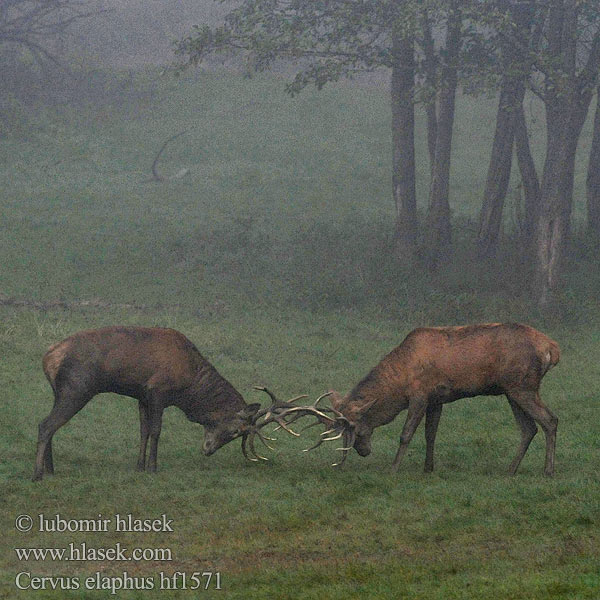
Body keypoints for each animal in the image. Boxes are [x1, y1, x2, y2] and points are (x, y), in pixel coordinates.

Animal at [32, 326, 298, 480]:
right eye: (235, 431)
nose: (208, 450)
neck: (189, 386)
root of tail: (48, 358)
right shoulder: (158, 391)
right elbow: (156, 431)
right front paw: (153, 467)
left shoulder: (141, 396)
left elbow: (143, 431)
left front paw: (139, 466)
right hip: (77, 389)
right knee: (46, 425)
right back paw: (37, 474)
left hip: (60, 392)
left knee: (49, 424)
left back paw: (50, 469)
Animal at [292, 324, 560, 478]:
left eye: (356, 429)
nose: (363, 451)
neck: (401, 379)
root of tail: (552, 348)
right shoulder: (436, 398)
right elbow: (431, 433)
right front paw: (428, 468)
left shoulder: (419, 395)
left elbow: (406, 434)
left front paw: (393, 469)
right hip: (511, 390)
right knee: (529, 428)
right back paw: (510, 469)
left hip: (523, 386)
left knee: (550, 420)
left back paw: (548, 470)